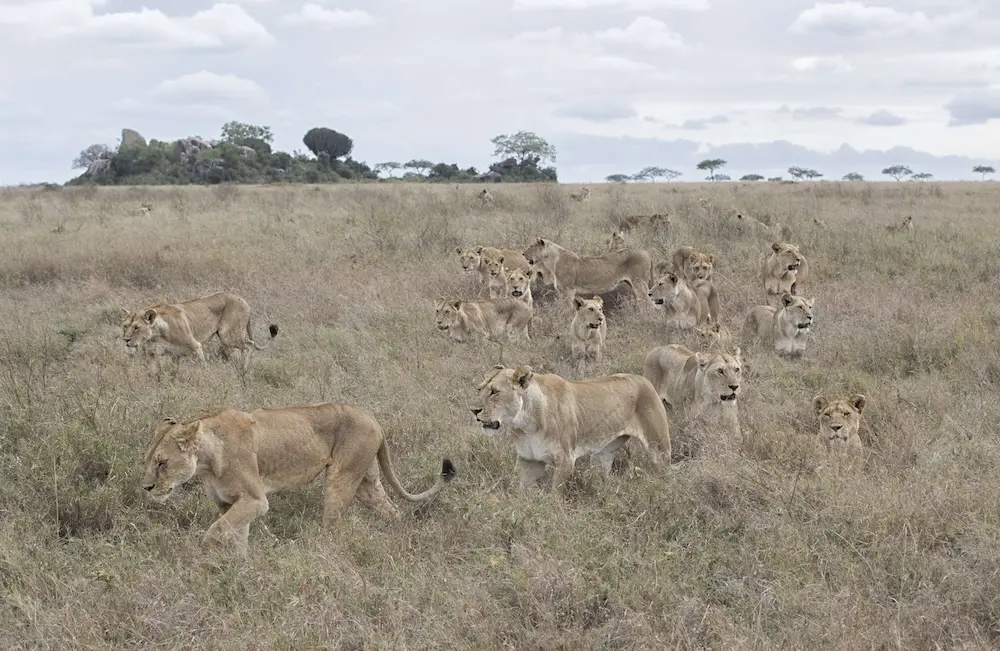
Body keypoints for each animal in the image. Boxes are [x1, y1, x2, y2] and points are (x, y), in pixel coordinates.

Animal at [120, 292, 278, 372]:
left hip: (227, 336)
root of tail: (244, 301)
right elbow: (157, 374)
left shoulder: (195, 346)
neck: (156, 335)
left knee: (250, 344)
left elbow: (203, 366)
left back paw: (243, 371)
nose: (126, 340)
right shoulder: (155, 354)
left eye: (136, 327)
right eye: (125, 326)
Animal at [142, 403, 456, 555]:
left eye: (162, 462)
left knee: (333, 525)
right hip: (367, 482)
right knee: (392, 510)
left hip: (340, 478)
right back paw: (403, 537)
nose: (146, 488)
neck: (207, 461)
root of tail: (373, 418)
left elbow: (217, 530)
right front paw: (240, 567)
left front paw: (204, 557)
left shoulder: (255, 500)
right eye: (149, 461)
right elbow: (237, 535)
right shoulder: (230, 503)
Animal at [470, 364, 670, 491]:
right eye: (479, 389)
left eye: (494, 392)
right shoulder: (529, 461)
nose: (473, 410)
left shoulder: (565, 461)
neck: (526, 424)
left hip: (659, 450)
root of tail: (643, 379)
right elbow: (521, 493)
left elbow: (555, 496)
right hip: (603, 454)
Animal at [522, 237, 653, 303]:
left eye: (531, 246)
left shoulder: (568, 290)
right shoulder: (561, 292)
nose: (522, 253)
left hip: (639, 283)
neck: (551, 261)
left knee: (648, 303)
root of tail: (647, 253)